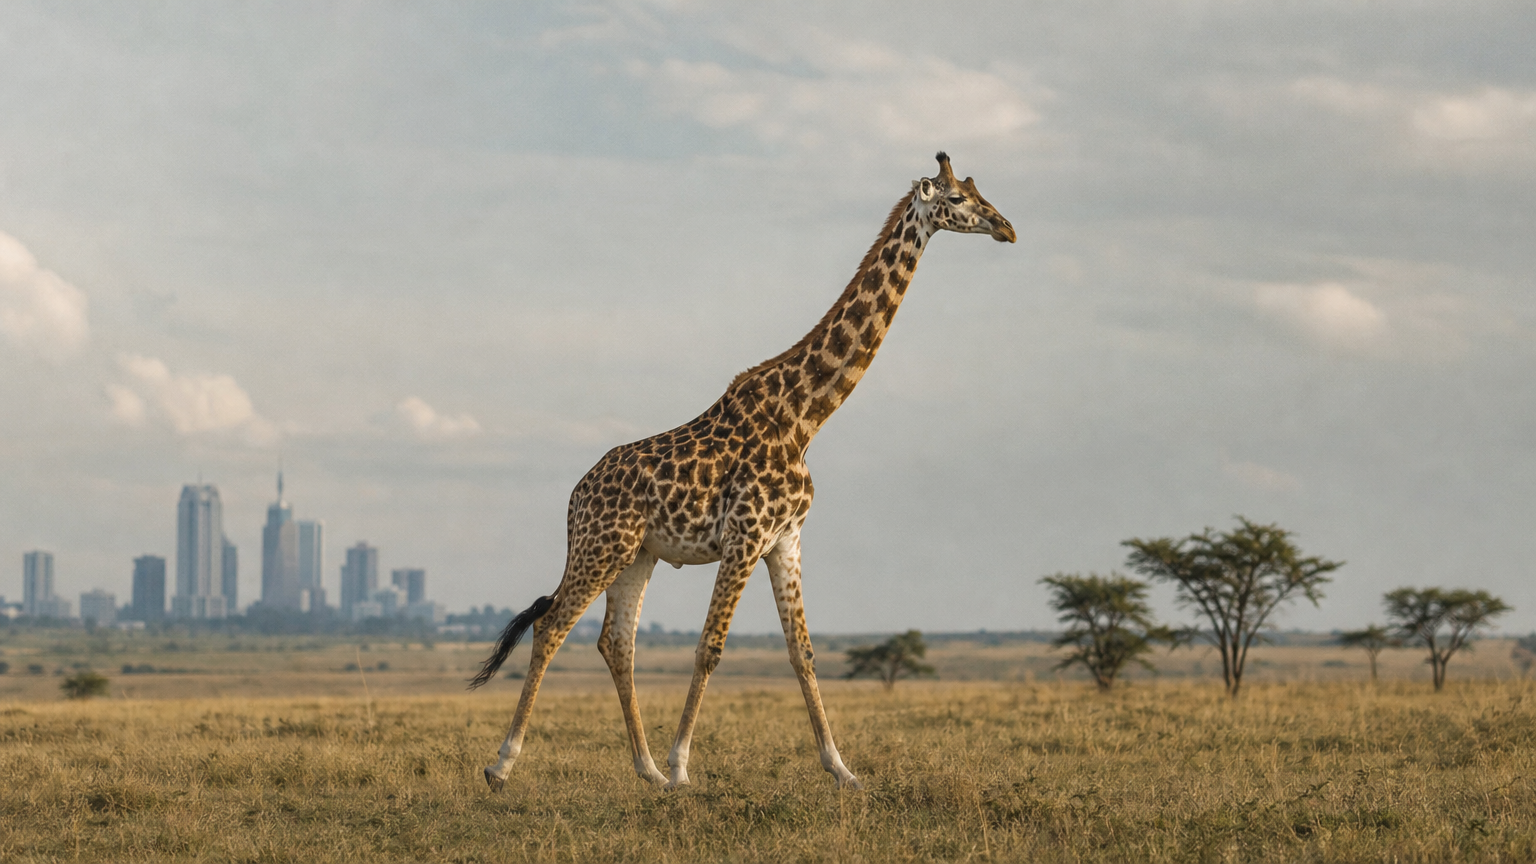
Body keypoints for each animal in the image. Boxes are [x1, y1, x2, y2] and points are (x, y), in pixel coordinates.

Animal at [470, 152, 1015, 791]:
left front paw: (842, 770)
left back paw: (645, 770)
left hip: (638, 554)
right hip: (603, 546)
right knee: (552, 626)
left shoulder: (786, 539)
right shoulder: (746, 535)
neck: (805, 417)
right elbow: (711, 646)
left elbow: (802, 651)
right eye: (957, 200)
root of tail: (576, 496)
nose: (1006, 227)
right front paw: (683, 766)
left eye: (979, 192)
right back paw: (504, 764)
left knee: (616, 643)